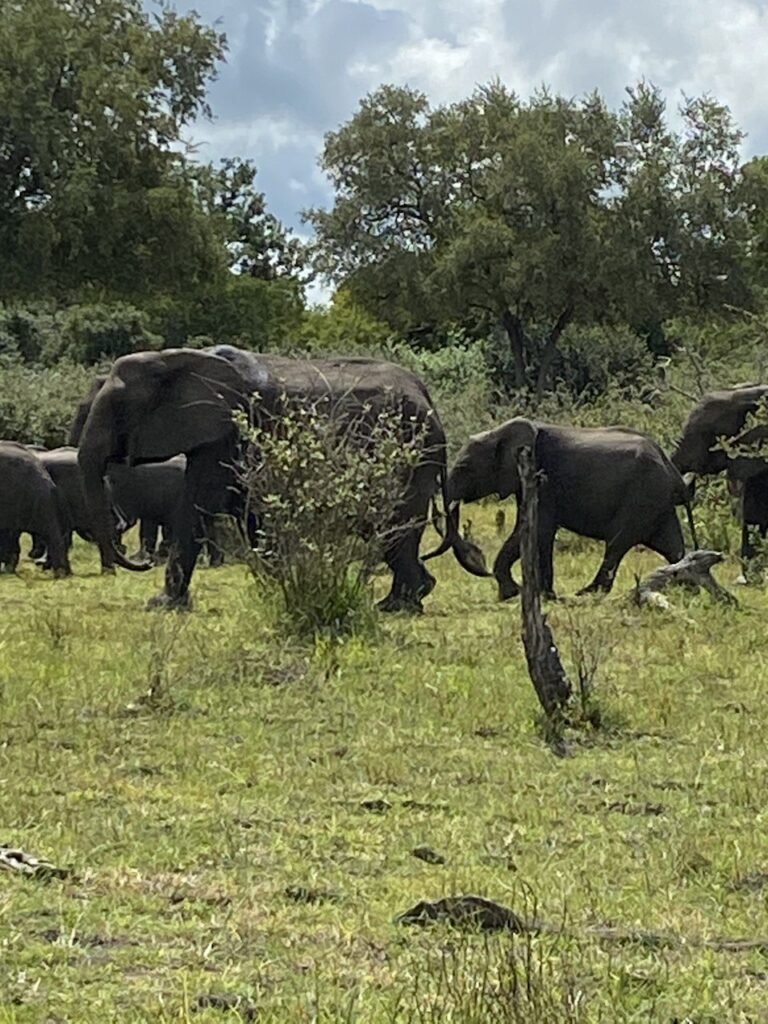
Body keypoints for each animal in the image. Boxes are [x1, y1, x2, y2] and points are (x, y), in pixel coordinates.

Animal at [75, 348, 489, 610]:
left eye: (117, 408)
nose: (142, 563)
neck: (175, 358)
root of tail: (428, 396)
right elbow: (248, 514)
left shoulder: (225, 432)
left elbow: (196, 507)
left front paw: (161, 605)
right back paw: (408, 598)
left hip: (412, 454)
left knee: (396, 526)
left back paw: (397, 606)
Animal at [430, 411, 700, 598]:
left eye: (464, 467)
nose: (481, 566)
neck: (500, 432)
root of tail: (675, 475)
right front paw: (527, 593)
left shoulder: (542, 479)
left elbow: (537, 529)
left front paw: (521, 593)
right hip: (657, 503)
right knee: (673, 547)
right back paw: (690, 588)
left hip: (642, 497)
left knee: (617, 543)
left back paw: (587, 592)